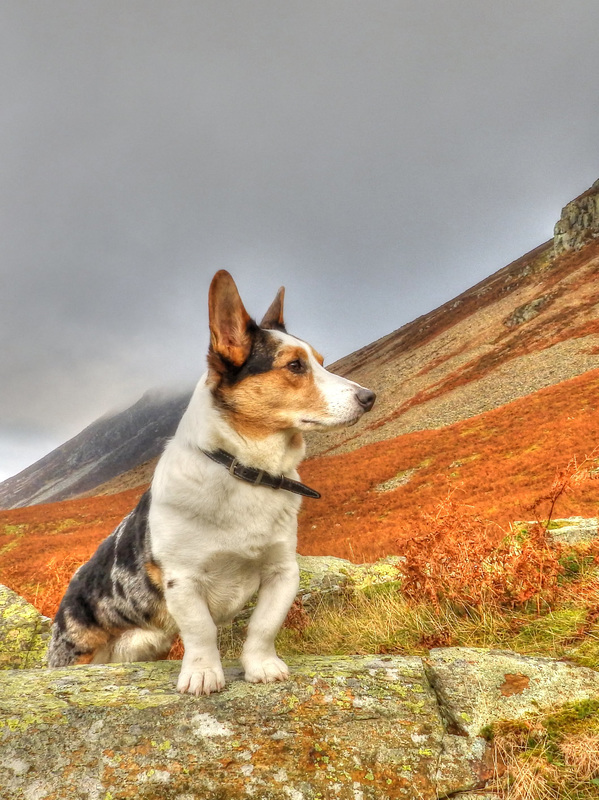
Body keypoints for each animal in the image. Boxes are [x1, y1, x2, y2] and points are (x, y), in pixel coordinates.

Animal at [48, 270, 376, 692]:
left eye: (321, 362)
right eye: (295, 366)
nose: (370, 397)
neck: (248, 471)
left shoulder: (282, 572)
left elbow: (263, 626)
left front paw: (262, 667)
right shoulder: (184, 581)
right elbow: (201, 631)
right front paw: (203, 676)